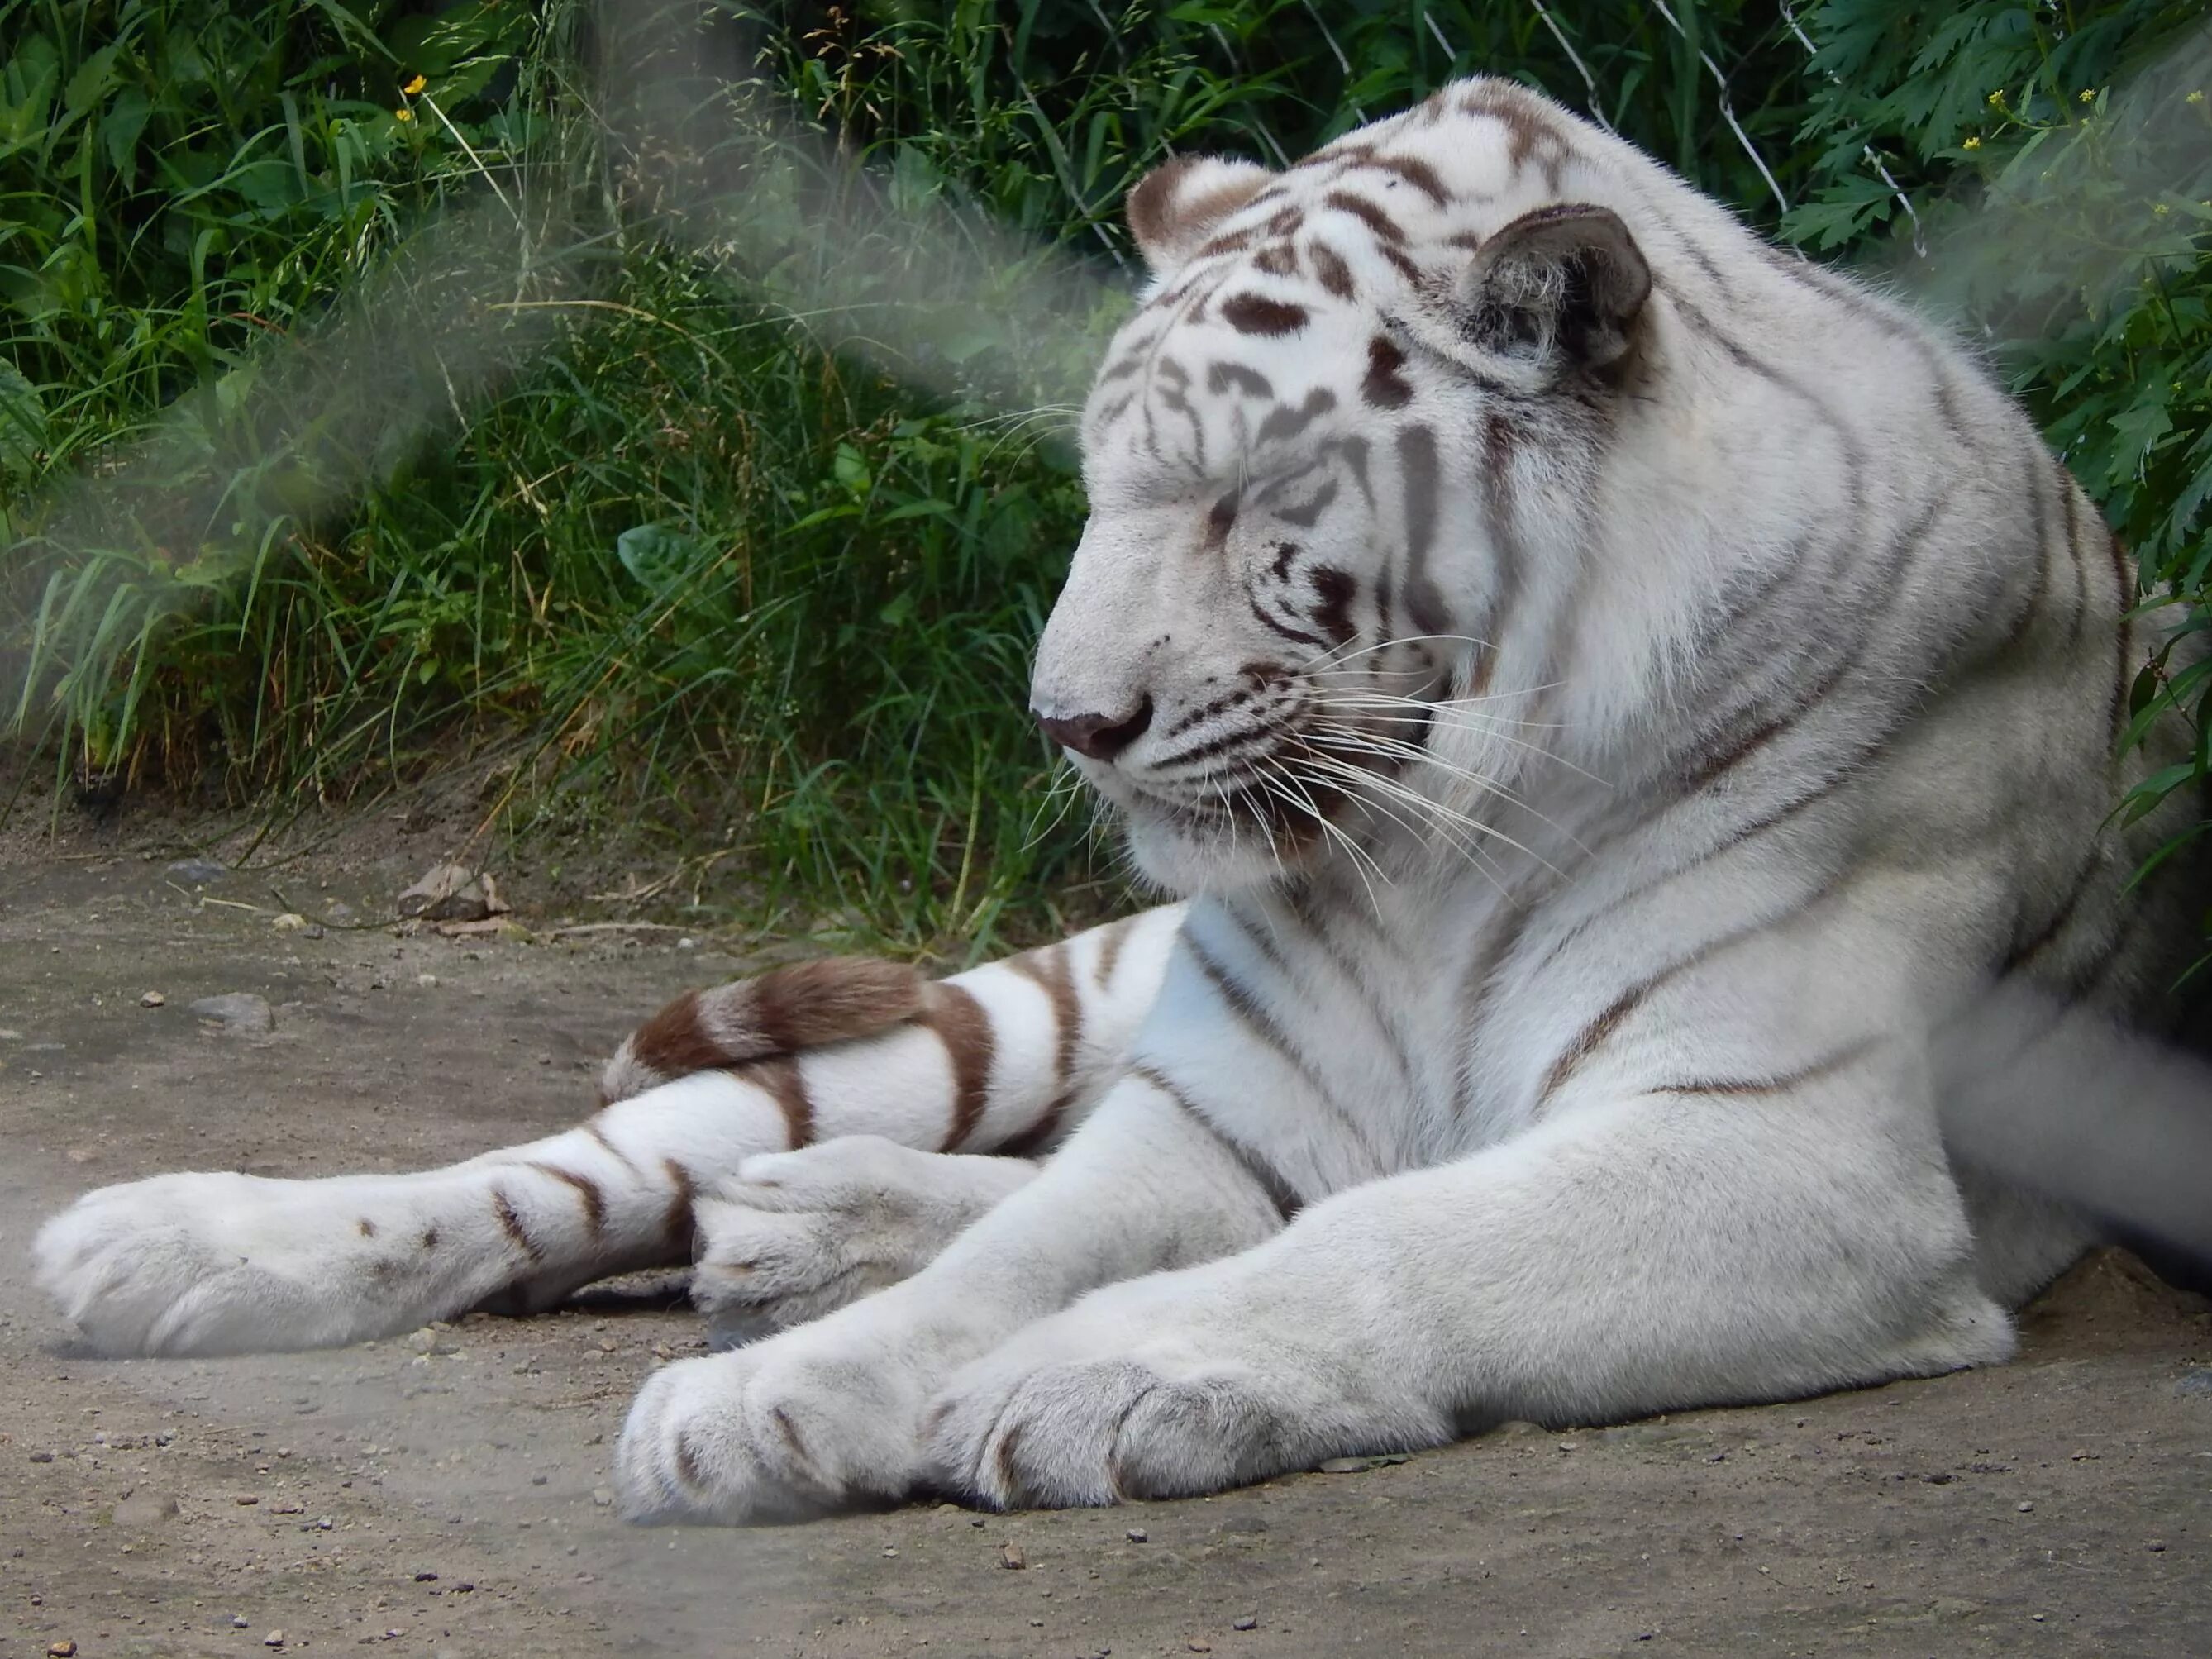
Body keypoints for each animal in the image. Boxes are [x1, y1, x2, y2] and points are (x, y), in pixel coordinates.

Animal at [34, 84, 2212, 1530]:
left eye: (1257, 505)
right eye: (1100, 488)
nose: (1069, 721)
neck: (1434, 844)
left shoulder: (1788, 1138)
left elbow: (1375, 1239)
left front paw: (1097, 1368)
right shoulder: (1224, 1099)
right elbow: (1021, 1256)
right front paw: (779, 1395)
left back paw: (793, 1236)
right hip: (1023, 1009)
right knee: (587, 1166)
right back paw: (183, 1241)